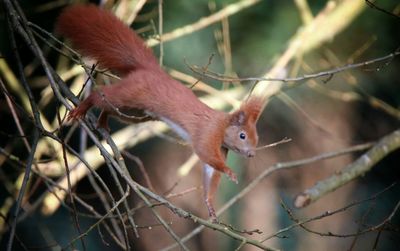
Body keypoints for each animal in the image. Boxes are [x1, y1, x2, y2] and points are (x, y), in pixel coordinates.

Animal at [56, 4, 262, 220]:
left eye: (256, 138)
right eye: (242, 135)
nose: (251, 154)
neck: (223, 127)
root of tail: (151, 70)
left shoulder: (221, 148)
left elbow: (209, 173)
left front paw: (210, 205)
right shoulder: (208, 133)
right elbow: (205, 154)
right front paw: (229, 171)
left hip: (133, 112)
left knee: (110, 108)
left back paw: (103, 121)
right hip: (131, 94)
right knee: (101, 95)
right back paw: (83, 107)